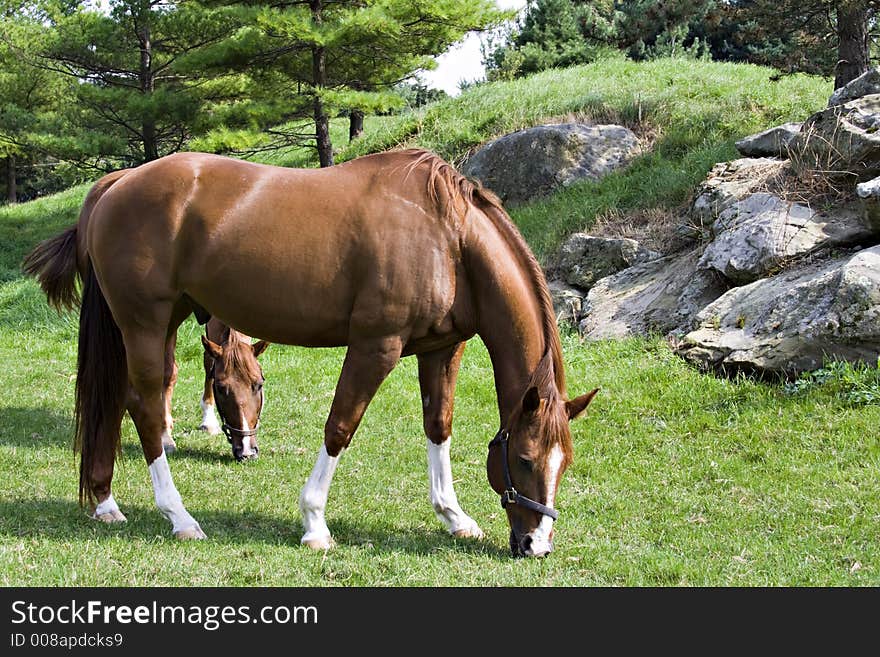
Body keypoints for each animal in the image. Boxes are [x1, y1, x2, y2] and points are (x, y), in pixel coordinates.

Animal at [24, 149, 600, 552]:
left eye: (564, 463)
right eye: (524, 460)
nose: (536, 546)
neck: (448, 239)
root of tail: (117, 183)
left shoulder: (442, 350)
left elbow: (439, 427)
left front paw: (455, 517)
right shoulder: (376, 347)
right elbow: (340, 426)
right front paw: (315, 523)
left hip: (159, 322)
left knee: (118, 401)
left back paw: (105, 502)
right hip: (144, 323)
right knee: (144, 406)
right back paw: (180, 518)